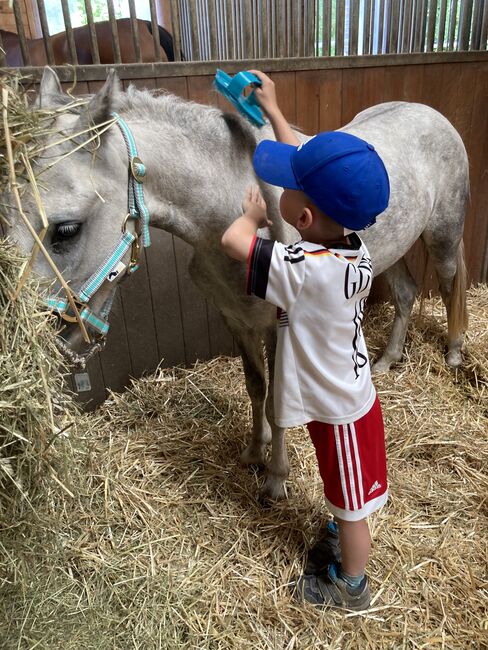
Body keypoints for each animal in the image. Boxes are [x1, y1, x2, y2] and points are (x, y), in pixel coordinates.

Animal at [4, 69, 468, 496]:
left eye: (66, 229)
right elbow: (255, 387)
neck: (231, 212)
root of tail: (430, 113)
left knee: (448, 286)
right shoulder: (237, 320)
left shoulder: (281, 327)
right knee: (406, 293)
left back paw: (454, 354)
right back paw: (387, 360)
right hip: (393, 249)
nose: (46, 338)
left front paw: (276, 479)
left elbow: (279, 400)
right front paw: (253, 452)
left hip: (442, 238)